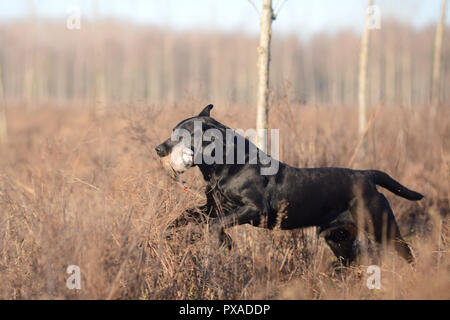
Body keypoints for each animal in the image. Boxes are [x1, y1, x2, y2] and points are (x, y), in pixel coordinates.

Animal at [155, 105, 422, 264]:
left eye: (182, 134)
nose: (158, 148)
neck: (223, 165)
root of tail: (366, 175)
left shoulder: (254, 209)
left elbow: (216, 225)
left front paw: (226, 243)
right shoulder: (214, 207)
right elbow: (186, 215)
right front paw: (169, 231)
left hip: (382, 228)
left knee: (407, 253)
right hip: (338, 239)